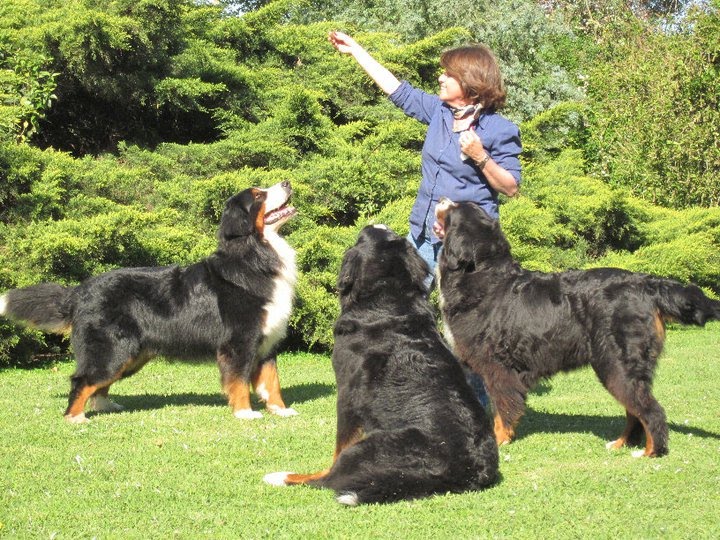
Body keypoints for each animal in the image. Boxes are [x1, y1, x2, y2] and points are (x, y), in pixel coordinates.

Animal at [0, 181, 298, 422]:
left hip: (129, 355)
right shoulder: (239, 342)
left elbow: (272, 381)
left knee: (100, 384)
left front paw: (281, 409)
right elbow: (239, 381)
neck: (255, 255)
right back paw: (75, 418)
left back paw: (106, 406)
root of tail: (80, 290)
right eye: (258, 195)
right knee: (83, 379)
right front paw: (245, 413)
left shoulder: (267, 342)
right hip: (112, 350)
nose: (287, 181)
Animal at [262, 226, 498, 504]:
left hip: (366, 448)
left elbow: (339, 445)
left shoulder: (347, 395)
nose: (375, 225)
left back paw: (281, 476)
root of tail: (467, 469)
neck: (388, 300)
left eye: (363, 237)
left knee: (328, 478)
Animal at [434, 200, 720, 458]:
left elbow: (503, 410)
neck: (483, 276)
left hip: (616, 365)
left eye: (453, 208)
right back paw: (621, 444)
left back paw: (650, 452)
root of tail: (646, 283)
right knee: (634, 411)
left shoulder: (498, 369)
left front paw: (499, 440)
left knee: (650, 411)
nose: (441, 199)